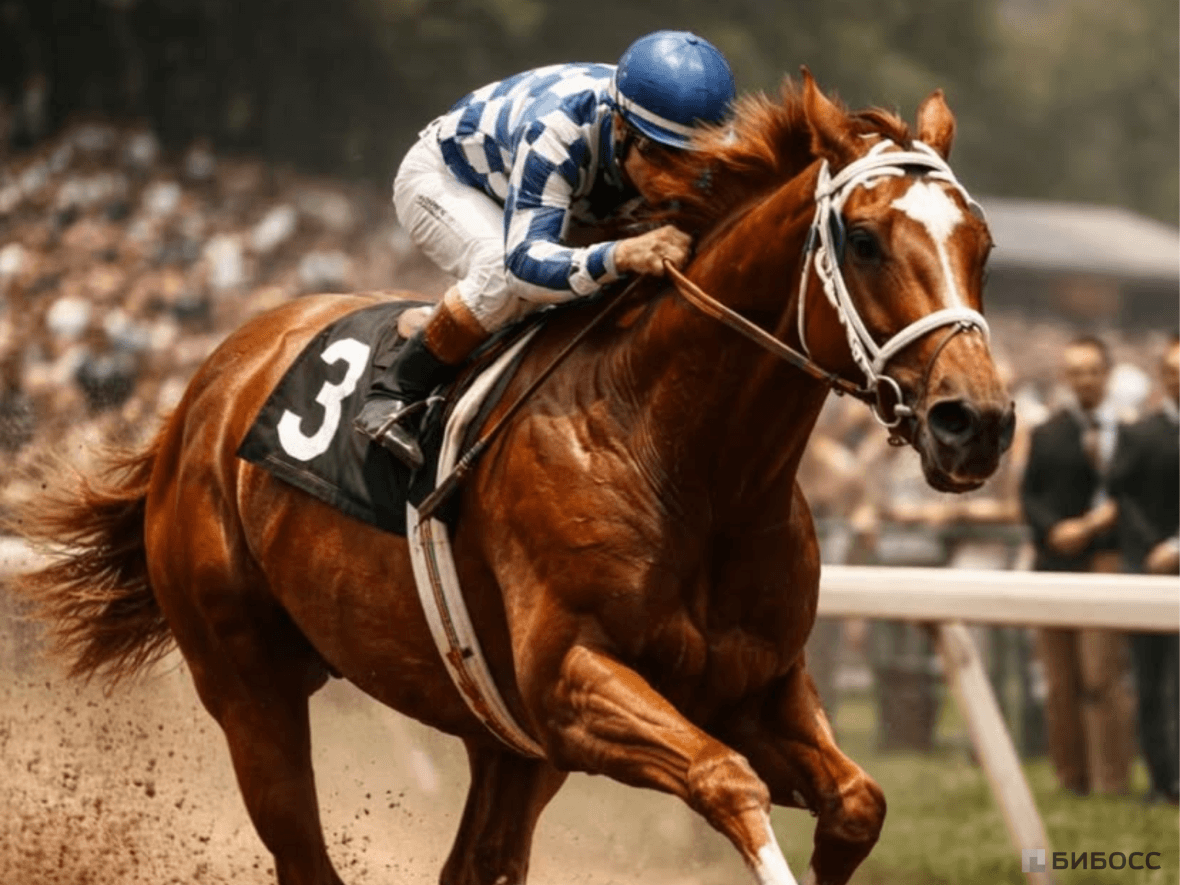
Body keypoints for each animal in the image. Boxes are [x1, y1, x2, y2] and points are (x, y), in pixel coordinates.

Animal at [13, 71, 1013, 885]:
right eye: (864, 236)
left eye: (984, 244)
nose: (978, 422)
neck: (687, 460)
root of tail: (204, 387)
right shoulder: (572, 682)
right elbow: (725, 780)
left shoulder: (753, 687)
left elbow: (858, 804)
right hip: (247, 681)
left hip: (507, 744)